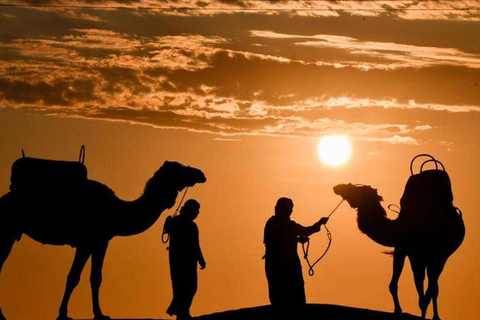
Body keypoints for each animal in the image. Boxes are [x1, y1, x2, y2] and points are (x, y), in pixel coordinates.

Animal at [0, 158, 204, 320]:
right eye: (179, 168)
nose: (200, 173)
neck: (118, 211)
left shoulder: (95, 242)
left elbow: (88, 277)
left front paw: (89, 313)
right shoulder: (92, 241)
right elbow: (81, 277)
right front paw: (76, 314)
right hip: (7, 230)